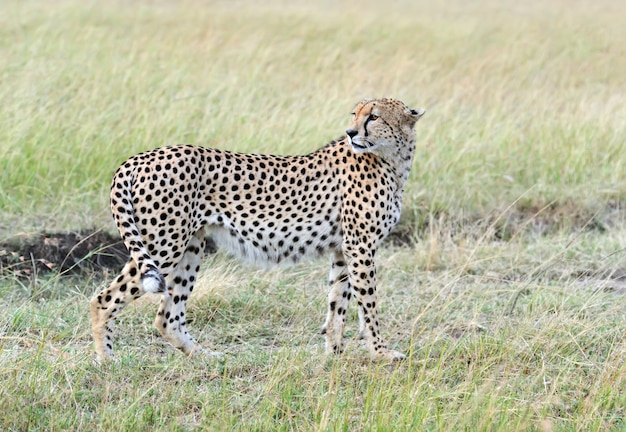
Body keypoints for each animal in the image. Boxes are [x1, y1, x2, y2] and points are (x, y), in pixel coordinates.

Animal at [89, 97, 424, 362]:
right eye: (355, 114)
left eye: (374, 116)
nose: (351, 132)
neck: (393, 159)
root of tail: (139, 157)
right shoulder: (360, 246)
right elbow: (368, 304)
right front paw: (380, 352)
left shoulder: (343, 248)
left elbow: (338, 302)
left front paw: (335, 353)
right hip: (163, 245)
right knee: (103, 299)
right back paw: (108, 361)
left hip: (190, 246)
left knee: (167, 317)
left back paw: (206, 356)